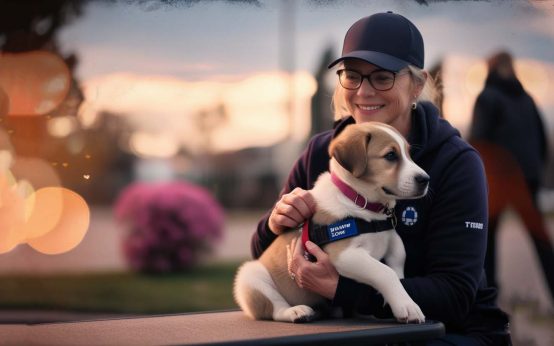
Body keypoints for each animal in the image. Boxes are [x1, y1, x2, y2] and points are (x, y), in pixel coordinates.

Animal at [232, 122, 426, 324]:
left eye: (409, 153)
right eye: (390, 155)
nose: (425, 180)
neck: (361, 202)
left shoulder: (390, 238)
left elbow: (398, 258)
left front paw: (397, 296)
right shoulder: (344, 255)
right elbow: (384, 271)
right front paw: (407, 305)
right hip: (251, 276)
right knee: (275, 309)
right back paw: (296, 311)